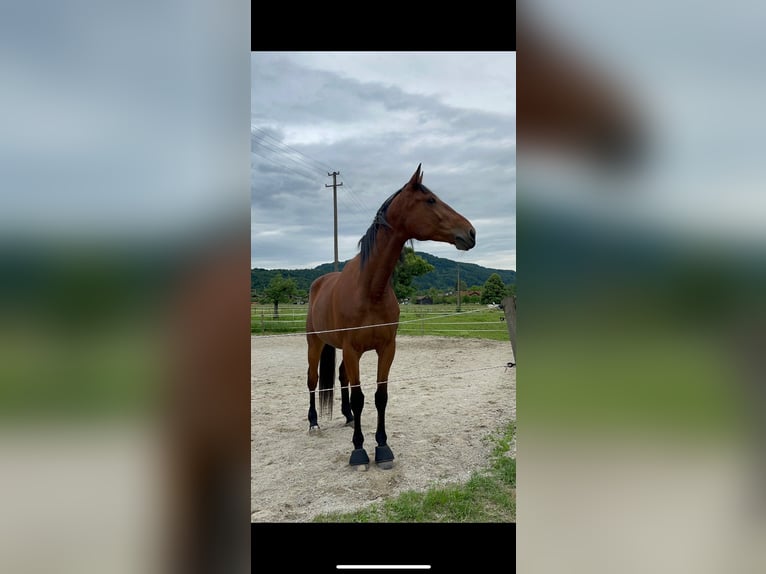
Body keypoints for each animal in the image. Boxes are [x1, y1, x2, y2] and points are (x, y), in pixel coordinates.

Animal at [305, 164, 476, 469]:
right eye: (430, 200)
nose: (471, 232)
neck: (370, 288)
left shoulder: (386, 348)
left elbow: (380, 396)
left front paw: (382, 447)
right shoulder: (352, 349)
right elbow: (360, 397)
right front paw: (359, 451)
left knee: (341, 378)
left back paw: (348, 417)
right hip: (315, 343)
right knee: (312, 380)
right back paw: (313, 423)